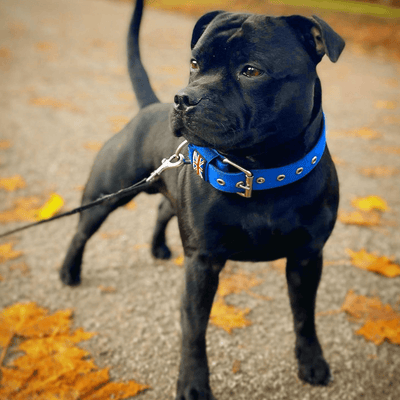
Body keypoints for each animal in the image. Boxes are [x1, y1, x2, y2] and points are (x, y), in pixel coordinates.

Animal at [59, 1, 344, 398]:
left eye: (251, 71)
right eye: (194, 63)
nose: (183, 99)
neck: (259, 173)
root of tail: (148, 107)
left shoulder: (306, 257)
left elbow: (305, 317)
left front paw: (312, 361)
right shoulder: (202, 263)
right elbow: (194, 329)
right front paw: (193, 383)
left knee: (163, 207)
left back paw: (158, 247)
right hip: (106, 193)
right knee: (82, 231)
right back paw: (69, 271)